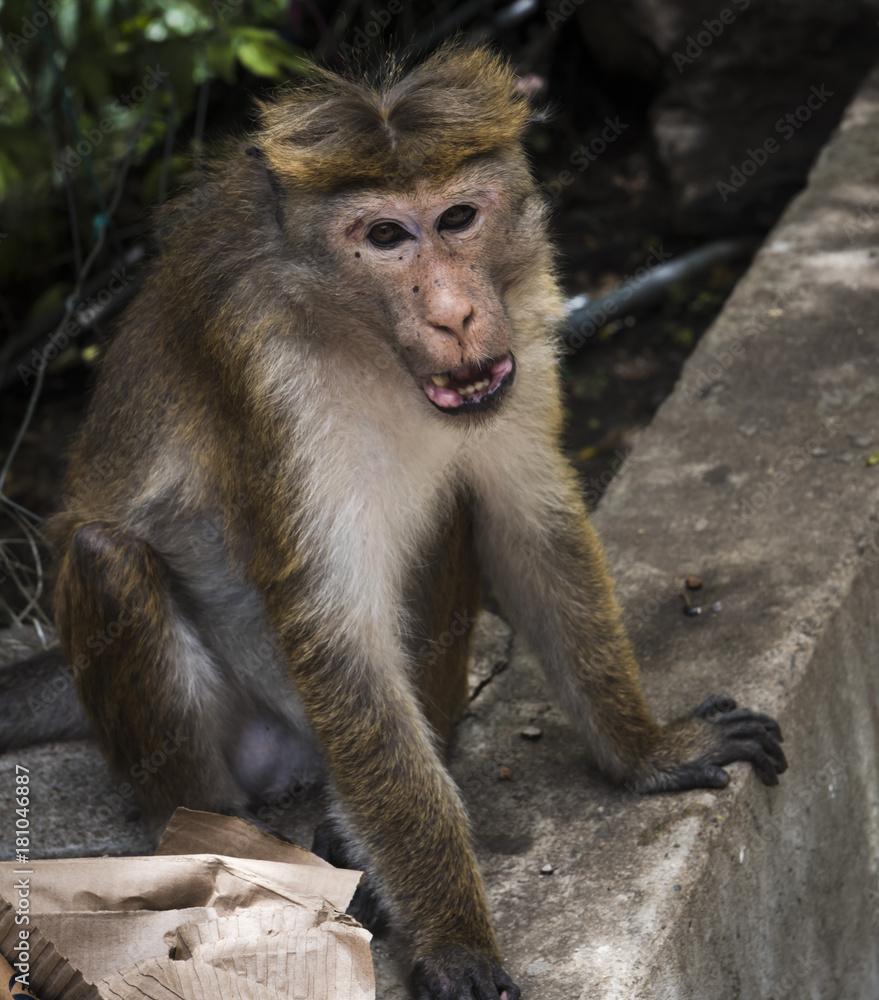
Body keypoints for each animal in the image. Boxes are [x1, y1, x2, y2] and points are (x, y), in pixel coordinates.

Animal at [0, 44, 786, 1000]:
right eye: (383, 237)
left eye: (457, 217)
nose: (454, 313)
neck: (364, 340)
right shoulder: (271, 376)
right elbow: (337, 636)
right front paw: (455, 937)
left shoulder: (523, 312)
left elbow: (526, 518)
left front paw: (646, 751)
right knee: (107, 555)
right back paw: (219, 847)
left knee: (458, 503)